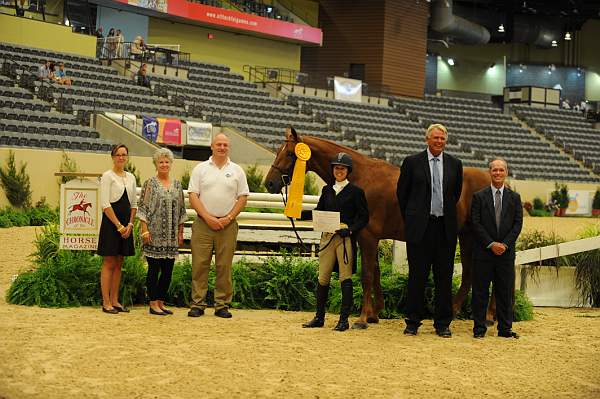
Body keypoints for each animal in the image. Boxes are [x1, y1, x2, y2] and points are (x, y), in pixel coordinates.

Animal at [264, 132, 490, 328]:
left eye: (290, 153)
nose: (270, 183)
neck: (361, 176)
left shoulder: (368, 237)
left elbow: (367, 275)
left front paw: (362, 318)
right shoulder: (366, 236)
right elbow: (376, 273)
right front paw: (375, 313)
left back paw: (477, 316)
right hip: (466, 236)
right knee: (471, 275)